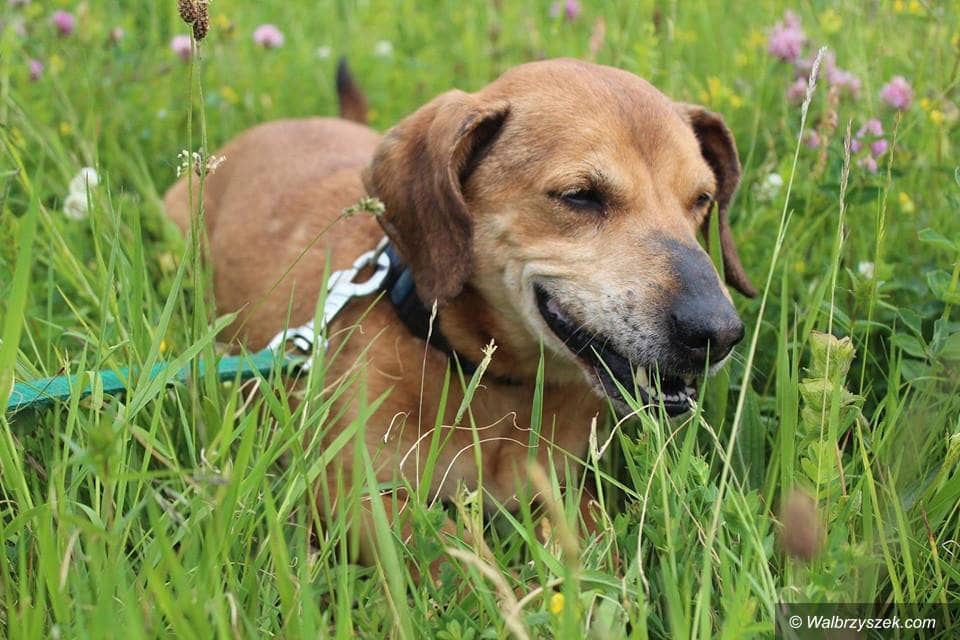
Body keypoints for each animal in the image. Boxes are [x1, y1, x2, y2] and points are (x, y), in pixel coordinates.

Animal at [164, 58, 755, 563]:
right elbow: (460, 565)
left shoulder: (565, 488)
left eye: (702, 199)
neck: (489, 381)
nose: (718, 333)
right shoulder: (358, 492)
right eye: (580, 195)